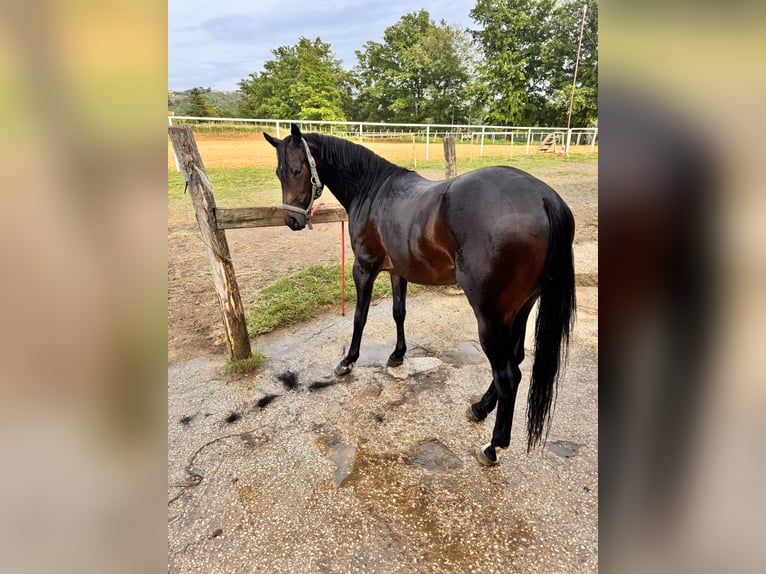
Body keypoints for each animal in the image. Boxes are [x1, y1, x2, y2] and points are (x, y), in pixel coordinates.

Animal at [265, 123, 576, 466]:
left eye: (297, 169)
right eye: (278, 172)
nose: (292, 221)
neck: (372, 190)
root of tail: (544, 197)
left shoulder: (364, 267)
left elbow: (360, 317)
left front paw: (348, 361)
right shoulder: (398, 270)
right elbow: (399, 312)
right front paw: (398, 355)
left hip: (491, 315)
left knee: (508, 374)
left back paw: (494, 445)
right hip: (520, 308)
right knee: (516, 359)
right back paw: (479, 408)